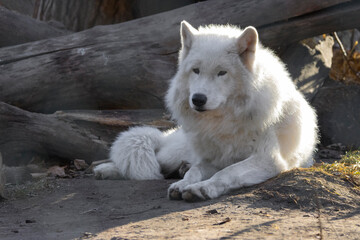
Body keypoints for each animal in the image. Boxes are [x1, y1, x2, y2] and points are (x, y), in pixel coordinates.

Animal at [93, 20, 318, 202]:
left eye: (222, 73)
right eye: (196, 71)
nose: (198, 99)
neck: (224, 123)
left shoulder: (267, 160)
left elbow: (227, 172)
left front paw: (202, 189)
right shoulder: (212, 160)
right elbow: (194, 171)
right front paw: (183, 185)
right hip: (174, 153)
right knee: (153, 160)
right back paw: (105, 169)